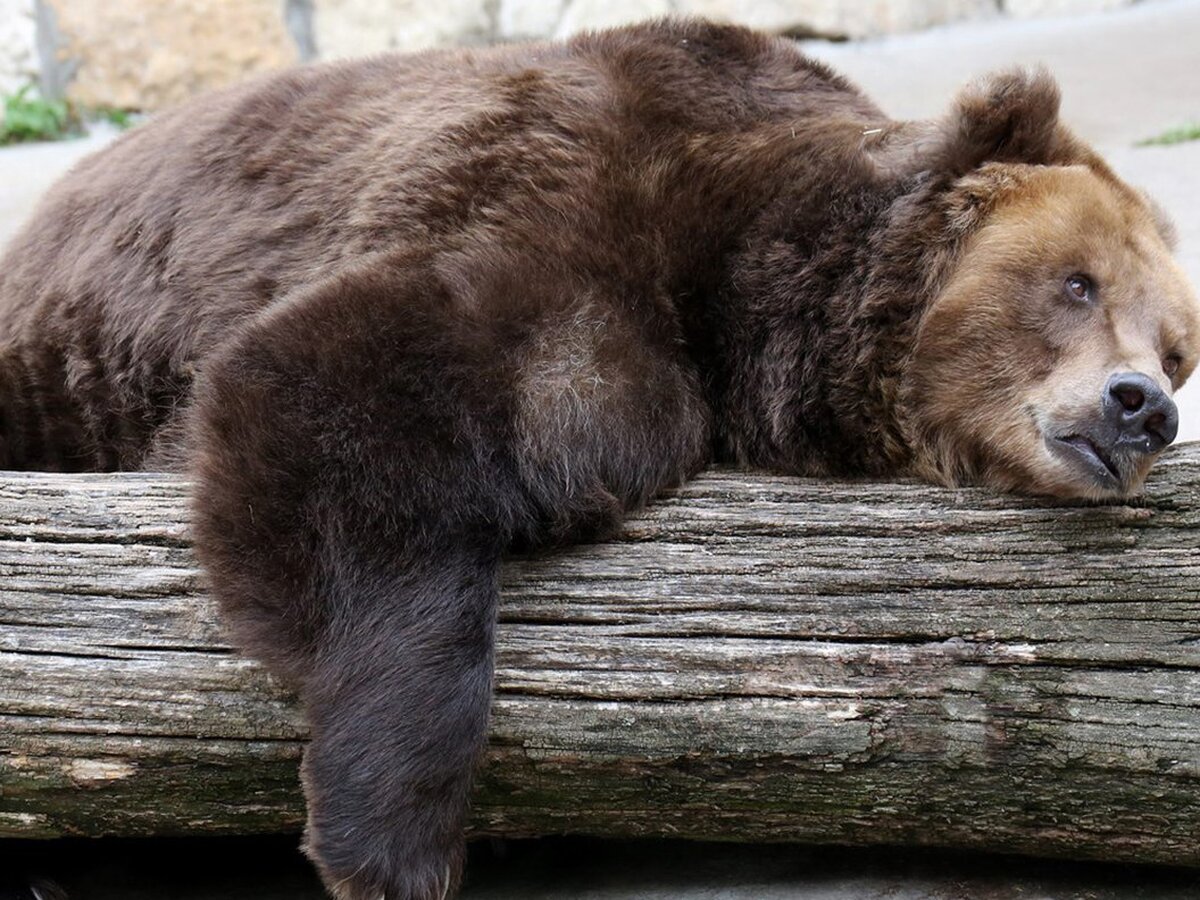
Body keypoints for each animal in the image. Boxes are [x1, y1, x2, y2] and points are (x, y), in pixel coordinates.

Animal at [0, 19, 1195, 900]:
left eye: (1177, 347)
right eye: (1076, 283)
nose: (1142, 409)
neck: (753, 290)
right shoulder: (577, 200)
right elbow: (336, 388)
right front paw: (390, 843)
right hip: (69, 341)